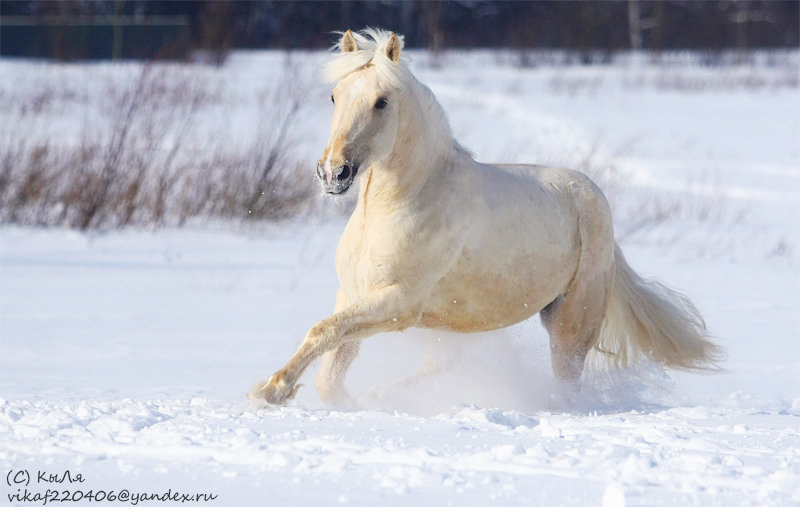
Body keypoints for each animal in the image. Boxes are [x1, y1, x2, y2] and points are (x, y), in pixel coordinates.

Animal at [250, 28, 720, 408]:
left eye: (382, 102)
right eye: (334, 96)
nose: (334, 173)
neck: (394, 205)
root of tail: (594, 199)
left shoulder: (399, 303)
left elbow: (322, 333)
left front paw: (269, 392)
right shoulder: (354, 294)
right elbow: (330, 370)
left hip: (571, 322)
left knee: (566, 383)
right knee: (440, 367)